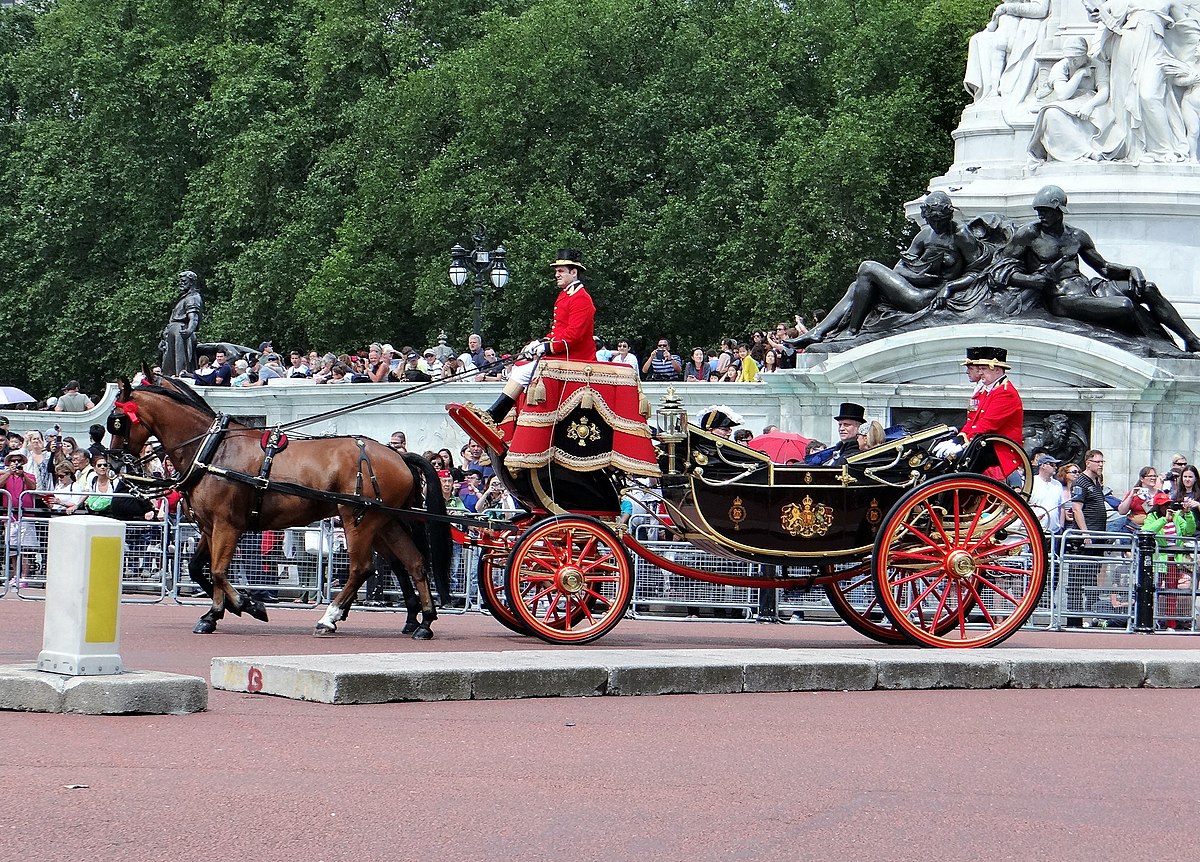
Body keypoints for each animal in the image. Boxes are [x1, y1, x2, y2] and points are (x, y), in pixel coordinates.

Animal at [108, 372, 451, 643]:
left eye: (117, 422)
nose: (113, 463)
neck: (213, 451)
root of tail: (397, 455)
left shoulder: (228, 525)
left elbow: (217, 570)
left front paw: (247, 605)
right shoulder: (209, 527)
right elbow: (198, 568)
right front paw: (217, 612)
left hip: (358, 520)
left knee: (362, 568)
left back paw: (329, 617)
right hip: (387, 521)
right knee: (414, 563)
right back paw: (424, 621)